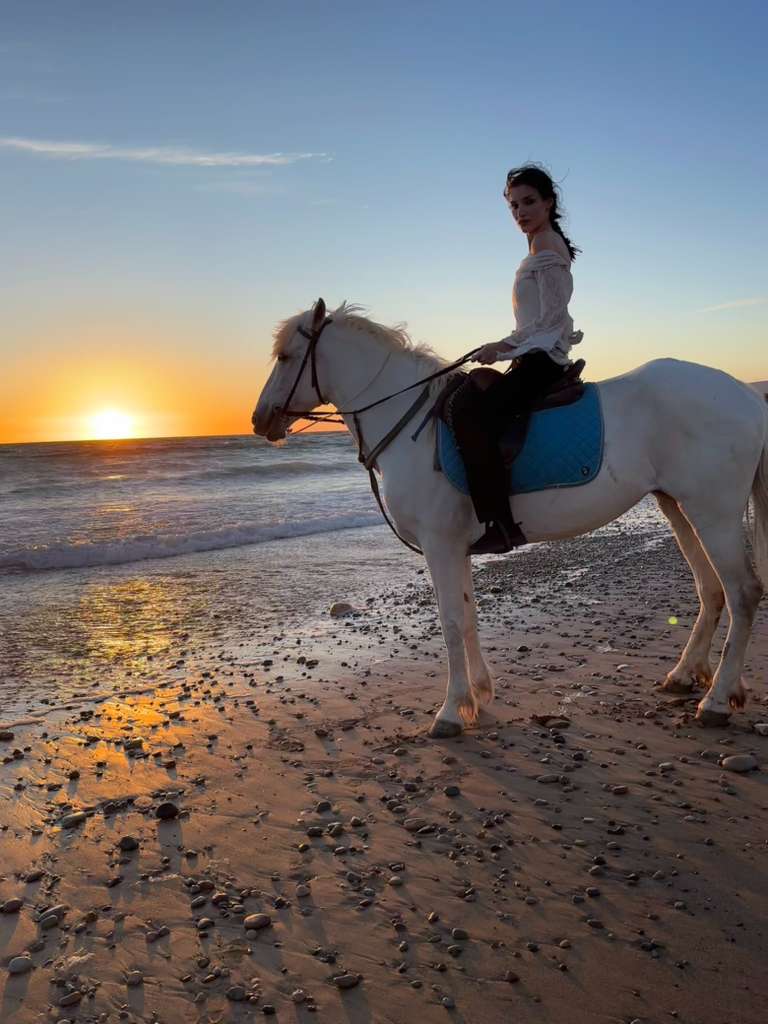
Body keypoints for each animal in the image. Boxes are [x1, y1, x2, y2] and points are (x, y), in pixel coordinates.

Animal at [252, 298, 768, 738]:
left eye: (284, 355)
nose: (259, 420)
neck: (409, 421)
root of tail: (747, 395)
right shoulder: (457, 546)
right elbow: (468, 614)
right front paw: (478, 695)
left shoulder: (440, 544)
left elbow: (450, 620)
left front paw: (449, 712)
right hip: (676, 506)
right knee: (711, 590)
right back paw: (684, 676)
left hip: (713, 512)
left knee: (743, 592)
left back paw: (716, 701)